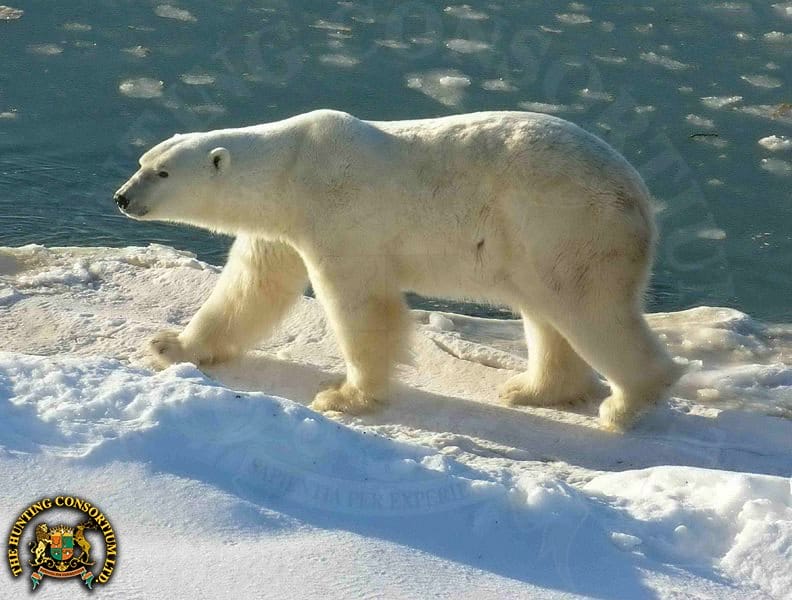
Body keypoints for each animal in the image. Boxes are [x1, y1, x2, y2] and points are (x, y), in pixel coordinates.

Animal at [114, 109, 682, 431]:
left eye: (162, 173)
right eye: (142, 161)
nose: (121, 197)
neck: (292, 166)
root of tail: (641, 196)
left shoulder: (339, 215)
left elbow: (361, 305)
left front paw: (345, 397)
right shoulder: (282, 229)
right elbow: (250, 287)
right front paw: (170, 345)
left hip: (567, 225)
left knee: (588, 309)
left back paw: (626, 405)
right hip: (537, 242)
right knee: (546, 312)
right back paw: (533, 389)